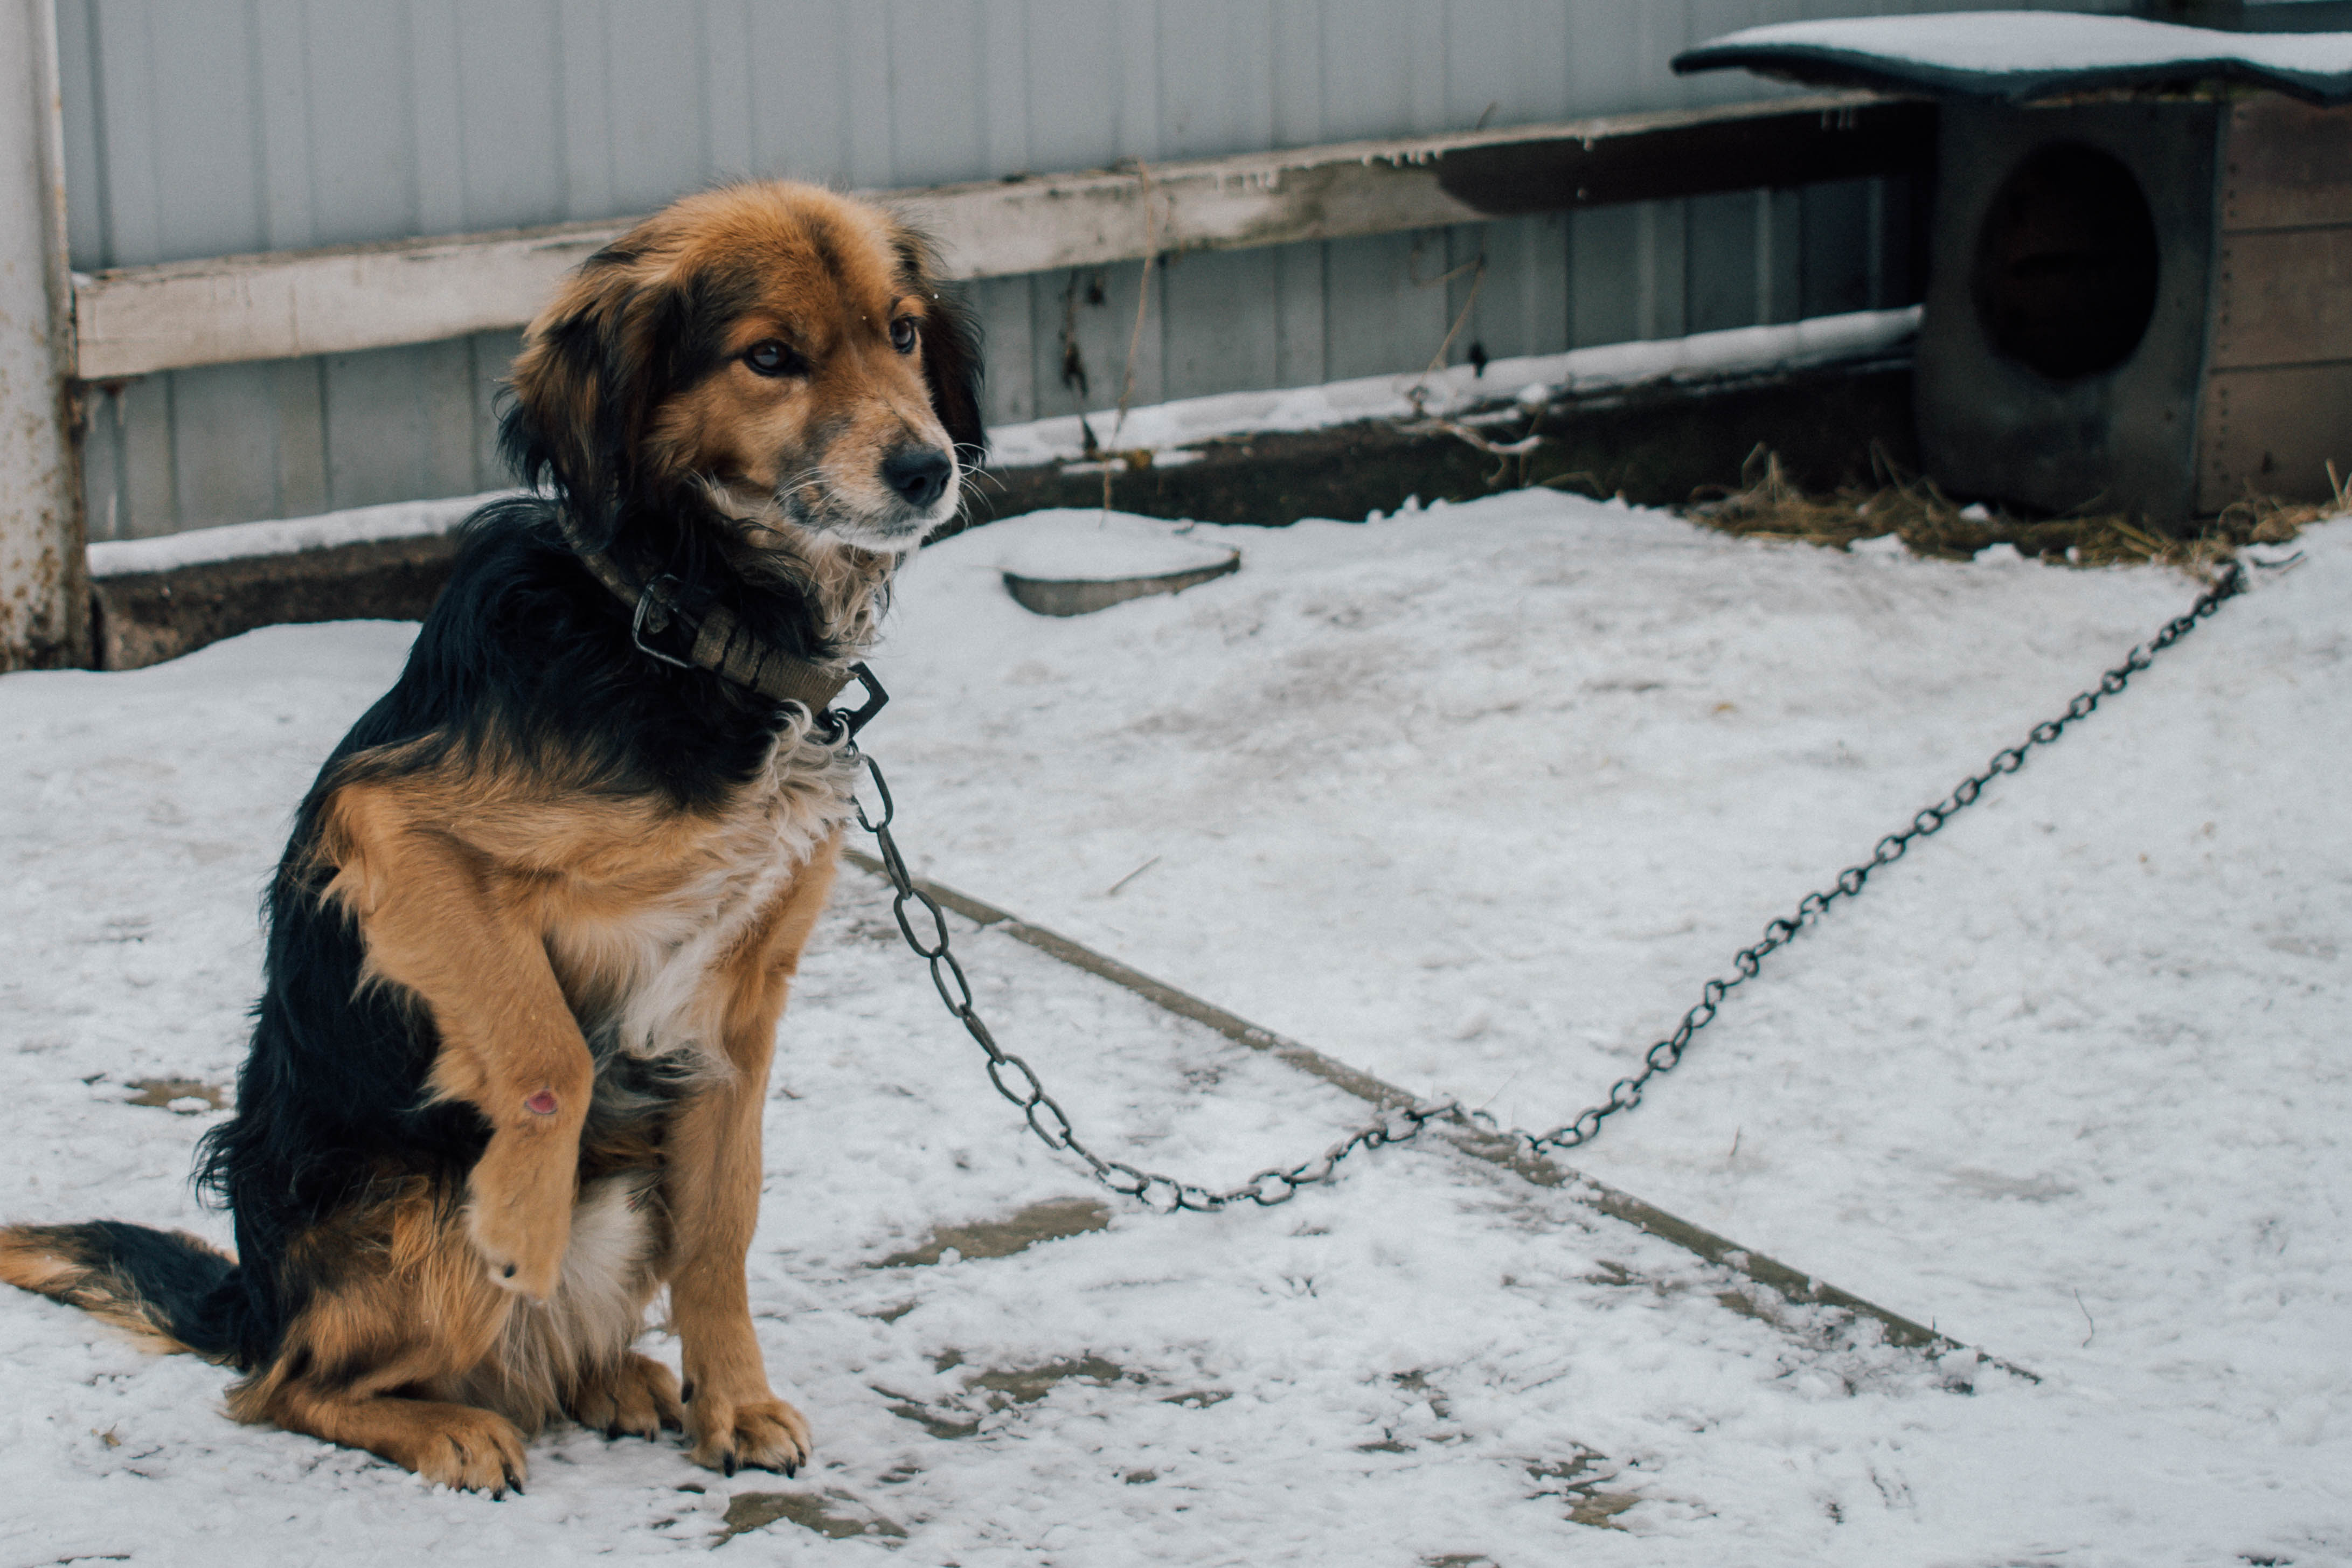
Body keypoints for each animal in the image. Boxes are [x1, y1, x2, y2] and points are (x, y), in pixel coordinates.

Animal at [0, 181, 983, 1495]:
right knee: (289, 1389)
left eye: (903, 334)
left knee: (540, 1356)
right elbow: (543, 1047)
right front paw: (522, 1220)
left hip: (627, 1197)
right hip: (409, 1231)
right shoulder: (392, 828)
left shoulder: (742, 1004)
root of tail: (256, 1299)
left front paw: (736, 1402)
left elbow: (724, 1226)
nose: (929, 469)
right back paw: (447, 1423)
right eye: (770, 357)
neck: (685, 624)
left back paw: (622, 1378)